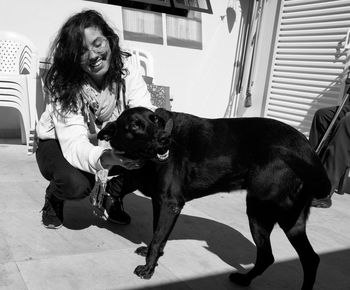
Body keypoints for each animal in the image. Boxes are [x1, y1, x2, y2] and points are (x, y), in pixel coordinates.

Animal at [98, 107, 330, 290]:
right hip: (288, 219)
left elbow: (157, 238)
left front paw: (148, 268)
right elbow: (158, 234)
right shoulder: (160, 202)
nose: (165, 139)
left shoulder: (170, 204)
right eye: (134, 125)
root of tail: (309, 150)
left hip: (263, 211)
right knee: (301, 258)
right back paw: (246, 280)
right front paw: (151, 255)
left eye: (154, 119)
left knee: (278, 256)